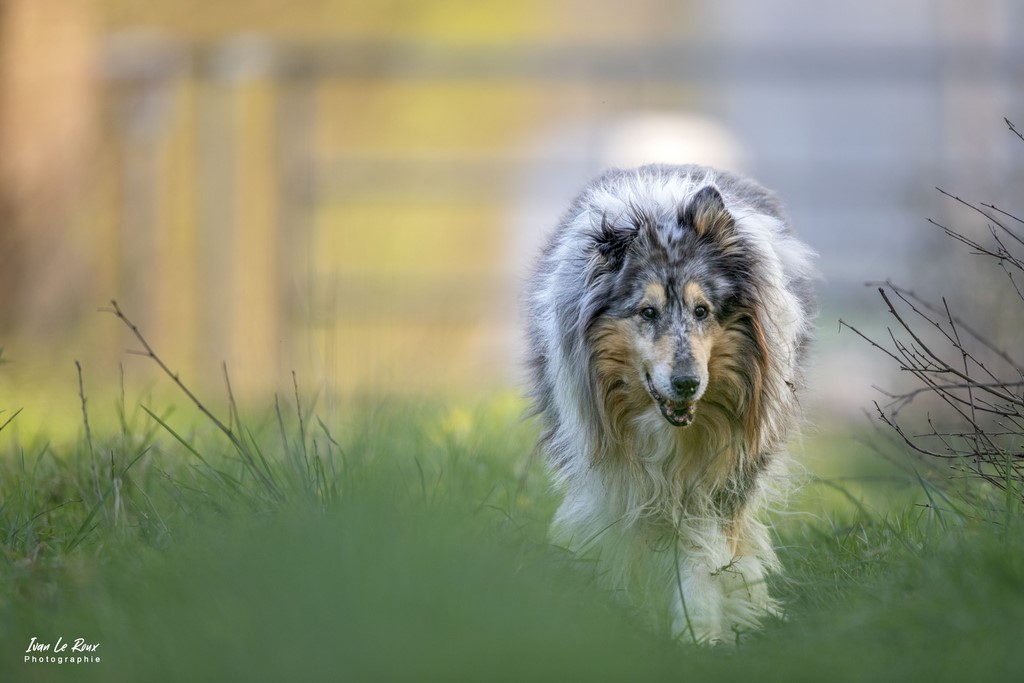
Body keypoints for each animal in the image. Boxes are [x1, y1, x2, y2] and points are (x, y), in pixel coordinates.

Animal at [528, 162, 815, 643]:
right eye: (647, 312)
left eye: (702, 311)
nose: (686, 384)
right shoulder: (620, 479)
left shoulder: (720, 476)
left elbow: (700, 549)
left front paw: (700, 631)